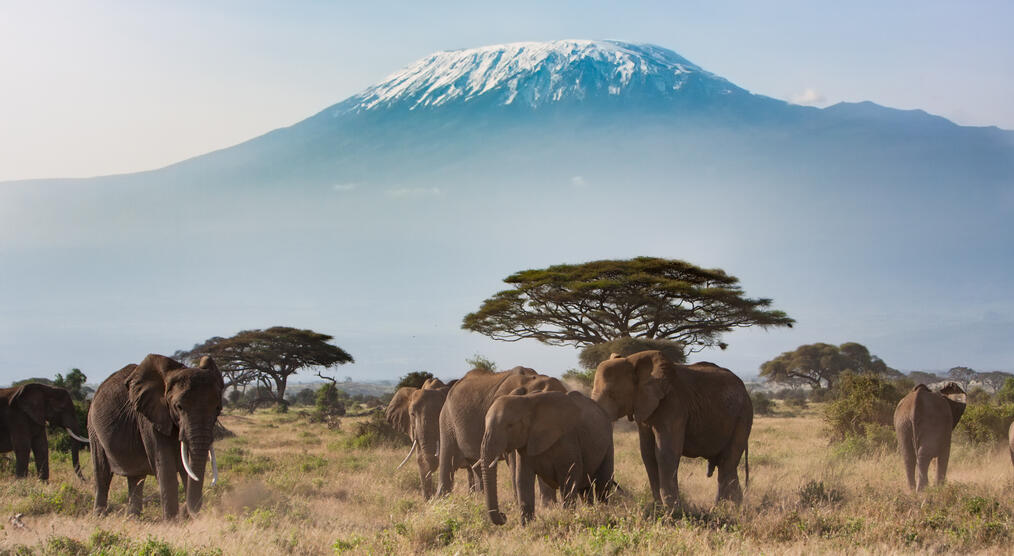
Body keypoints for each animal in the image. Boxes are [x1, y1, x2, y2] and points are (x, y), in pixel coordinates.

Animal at [89, 353, 224, 519]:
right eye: (179, 407)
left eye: (218, 408)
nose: (187, 512)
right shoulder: (149, 418)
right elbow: (165, 466)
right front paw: (172, 522)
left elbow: (186, 468)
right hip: (93, 428)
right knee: (102, 474)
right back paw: (99, 516)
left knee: (136, 477)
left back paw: (133, 519)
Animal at [478, 389, 612, 523]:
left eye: (510, 426)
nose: (504, 515)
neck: (526, 402)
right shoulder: (525, 444)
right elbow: (523, 480)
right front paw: (528, 525)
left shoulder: (568, 439)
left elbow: (569, 479)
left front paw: (567, 518)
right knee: (585, 490)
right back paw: (591, 511)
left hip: (608, 441)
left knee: (602, 485)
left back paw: (604, 511)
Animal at [592, 351, 750, 507]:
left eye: (612, 394)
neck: (632, 360)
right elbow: (647, 453)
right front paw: (659, 507)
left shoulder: (673, 405)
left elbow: (665, 453)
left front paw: (673, 509)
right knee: (726, 465)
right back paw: (729, 507)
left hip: (742, 416)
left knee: (727, 464)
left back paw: (725, 509)